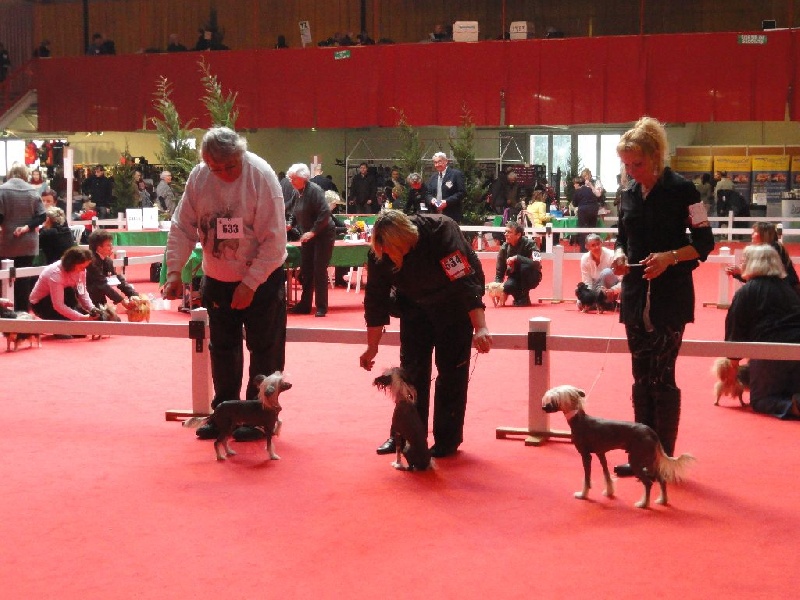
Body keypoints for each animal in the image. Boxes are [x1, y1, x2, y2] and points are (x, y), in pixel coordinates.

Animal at [542, 385, 695, 508]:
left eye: (553, 399)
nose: (543, 407)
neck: (579, 420)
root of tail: (651, 431)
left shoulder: (586, 456)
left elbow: (587, 478)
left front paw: (583, 495)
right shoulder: (600, 454)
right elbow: (606, 474)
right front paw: (609, 492)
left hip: (636, 461)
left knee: (648, 483)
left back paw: (643, 504)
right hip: (650, 461)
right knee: (661, 479)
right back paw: (662, 500)